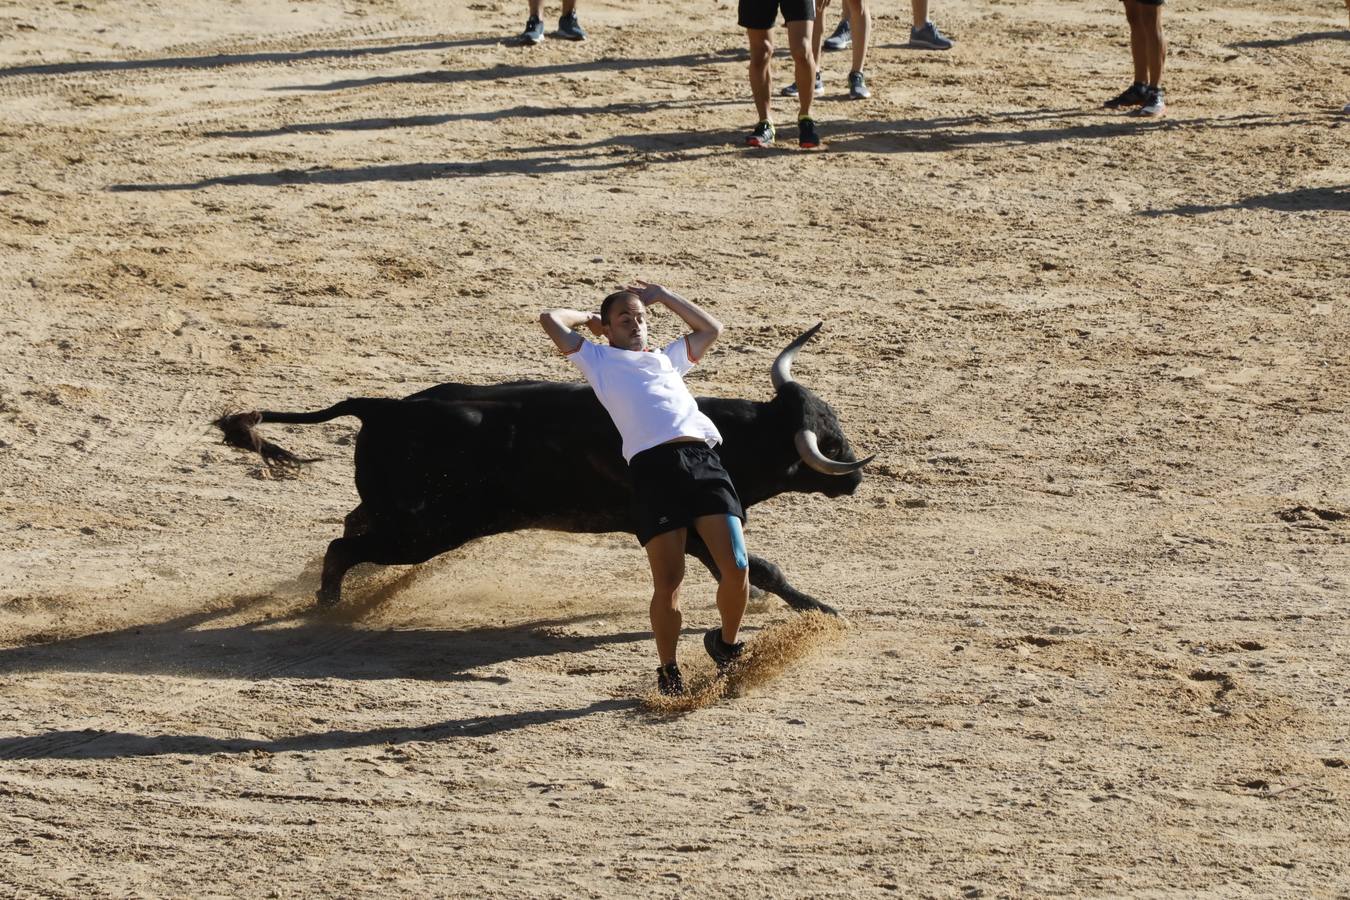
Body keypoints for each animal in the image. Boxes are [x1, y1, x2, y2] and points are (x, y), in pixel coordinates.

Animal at [218, 325, 874, 620]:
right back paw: (329, 604)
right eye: (825, 441)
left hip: (402, 518)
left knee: (349, 528)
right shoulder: (688, 524)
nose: (854, 476)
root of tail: (383, 407)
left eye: (836, 421)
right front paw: (823, 609)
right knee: (343, 547)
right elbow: (761, 566)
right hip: (425, 532)